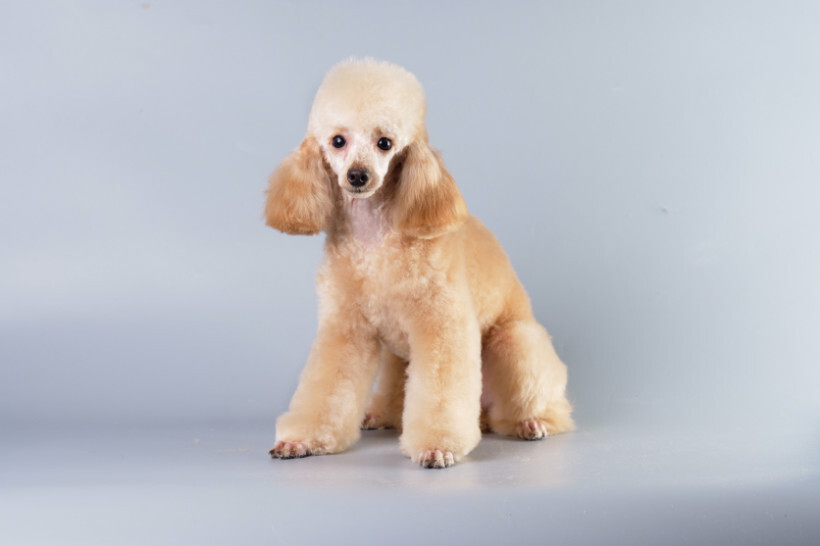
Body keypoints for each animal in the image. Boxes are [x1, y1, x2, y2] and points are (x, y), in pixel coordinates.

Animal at [266, 59, 572, 468]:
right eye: (337, 141)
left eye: (385, 143)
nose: (358, 176)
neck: (375, 237)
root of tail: (485, 416)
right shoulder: (346, 327)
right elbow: (327, 385)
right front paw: (302, 439)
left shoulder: (442, 325)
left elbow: (441, 392)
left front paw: (437, 446)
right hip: (399, 359)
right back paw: (380, 416)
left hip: (513, 342)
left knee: (544, 402)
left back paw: (532, 422)